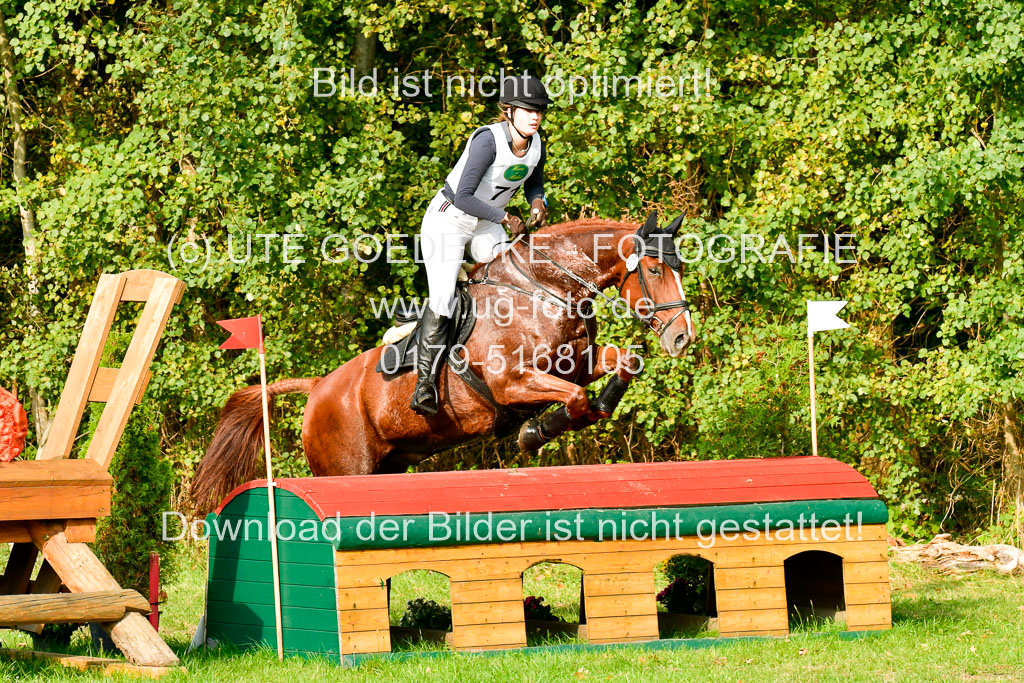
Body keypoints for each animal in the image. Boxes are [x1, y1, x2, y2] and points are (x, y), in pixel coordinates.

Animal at [190, 212, 697, 512]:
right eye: (654, 270)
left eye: (680, 269)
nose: (682, 337)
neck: (544, 290)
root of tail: (317, 387)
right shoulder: (512, 383)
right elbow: (573, 399)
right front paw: (533, 433)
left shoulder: (576, 362)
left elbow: (623, 365)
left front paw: (597, 407)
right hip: (344, 470)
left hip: (387, 468)